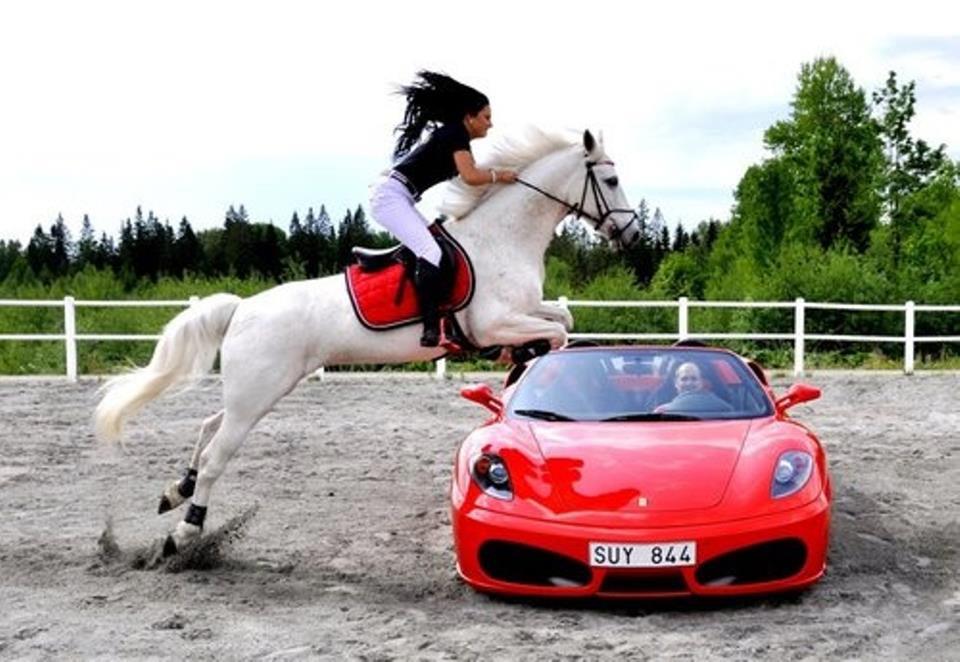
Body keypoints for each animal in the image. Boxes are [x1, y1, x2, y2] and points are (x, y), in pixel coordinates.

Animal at [94, 127, 640, 552]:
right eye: (611, 180)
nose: (632, 236)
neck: (502, 238)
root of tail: (243, 308)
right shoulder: (496, 321)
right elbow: (555, 331)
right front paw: (524, 361)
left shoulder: (525, 311)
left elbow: (563, 318)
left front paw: (525, 363)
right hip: (258, 392)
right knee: (216, 456)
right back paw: (185, 533)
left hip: (256, 390)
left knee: (209, 425)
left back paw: (175, 491)